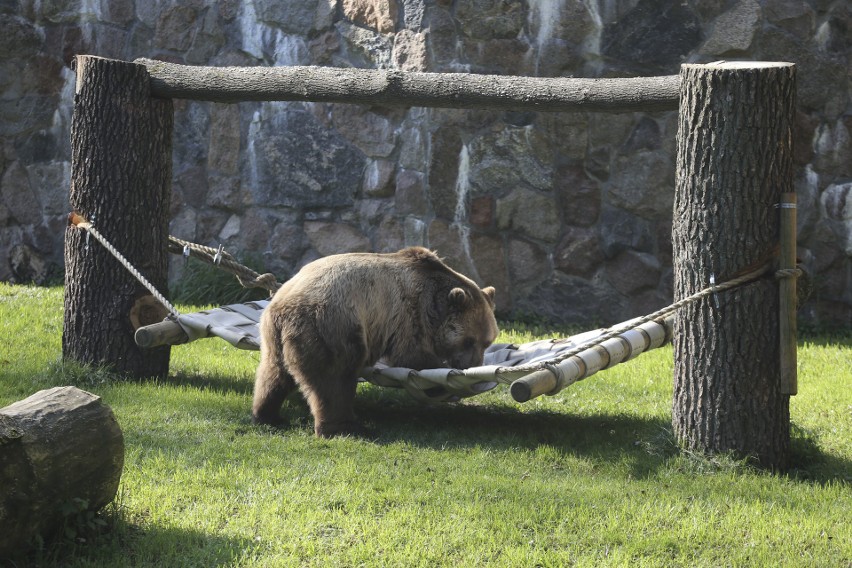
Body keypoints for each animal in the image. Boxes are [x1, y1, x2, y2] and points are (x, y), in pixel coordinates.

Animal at [251, 246, 500, 438]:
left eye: (487, 341)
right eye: (469, 341)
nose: (472, 365)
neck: (434, 300)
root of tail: (283, 305)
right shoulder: (409, 314)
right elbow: (413, 356)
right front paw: (440, 382)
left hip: (273, 335)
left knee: (273, 375)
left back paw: (266, 414)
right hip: (331, 324)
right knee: (334, 378)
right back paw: (344, 427)